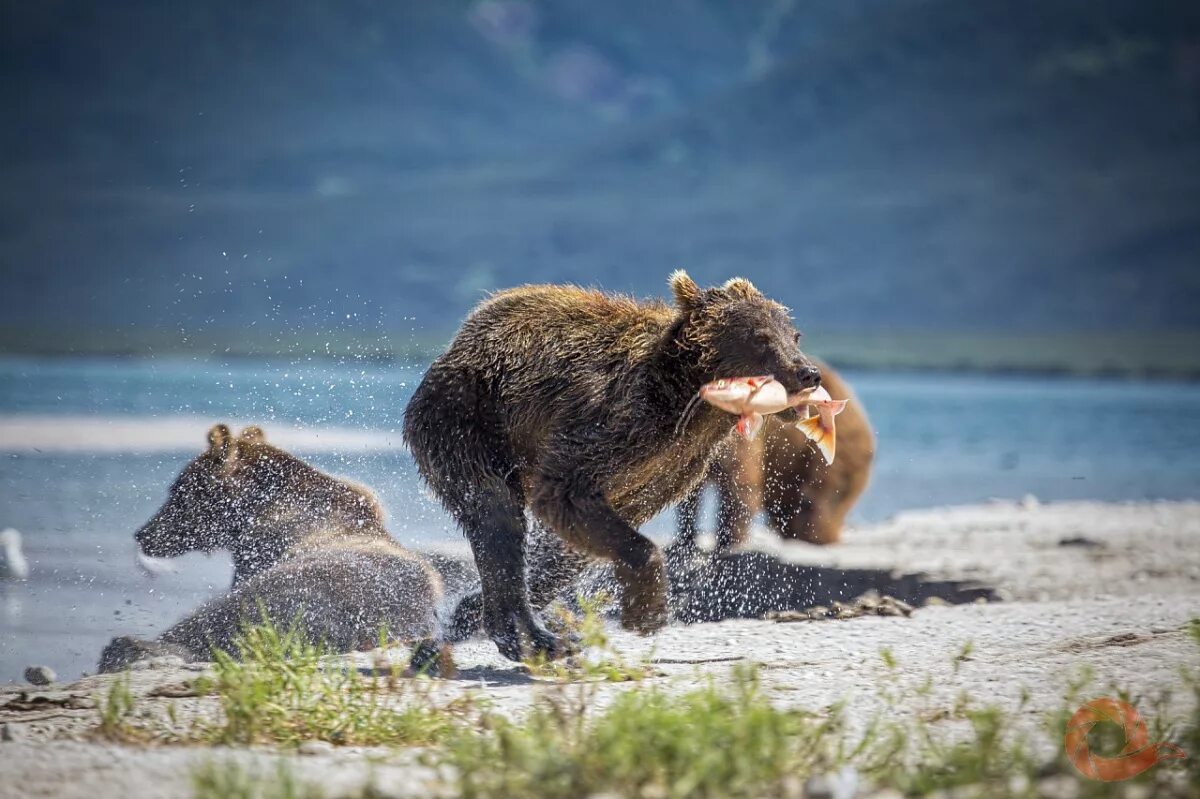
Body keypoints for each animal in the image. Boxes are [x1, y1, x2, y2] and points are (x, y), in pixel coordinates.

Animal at [408, 271, 820, 657]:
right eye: (761, 338)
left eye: (794, 335)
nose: (809, 373)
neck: (688, 403)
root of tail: (453, 349)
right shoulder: (611, 424)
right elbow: (566, 493)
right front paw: (646, 612)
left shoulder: (671, 465)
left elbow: (576, 540)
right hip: (467, 419)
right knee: (496, 514)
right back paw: (537, 638)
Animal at [676, 359, 873, 554]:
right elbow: (689, 493)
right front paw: (686, 540)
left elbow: (741, 483)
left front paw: (728, 542)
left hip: (825, 455)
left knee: (819, 494)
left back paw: (815, 535)